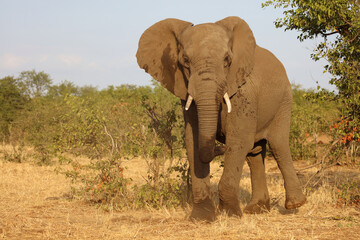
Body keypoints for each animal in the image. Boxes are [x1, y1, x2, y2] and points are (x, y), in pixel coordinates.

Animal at [136, 16, 306, 221]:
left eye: (227, 60)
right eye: (185, 61)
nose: (220, 146)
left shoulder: (244, 92)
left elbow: (239, 140)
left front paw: (231, 215)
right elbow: (193, 141)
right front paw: (201, 217)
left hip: (284, 101)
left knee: (278, 144)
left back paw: (295, 204)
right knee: (255, 152)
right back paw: (256, 209)